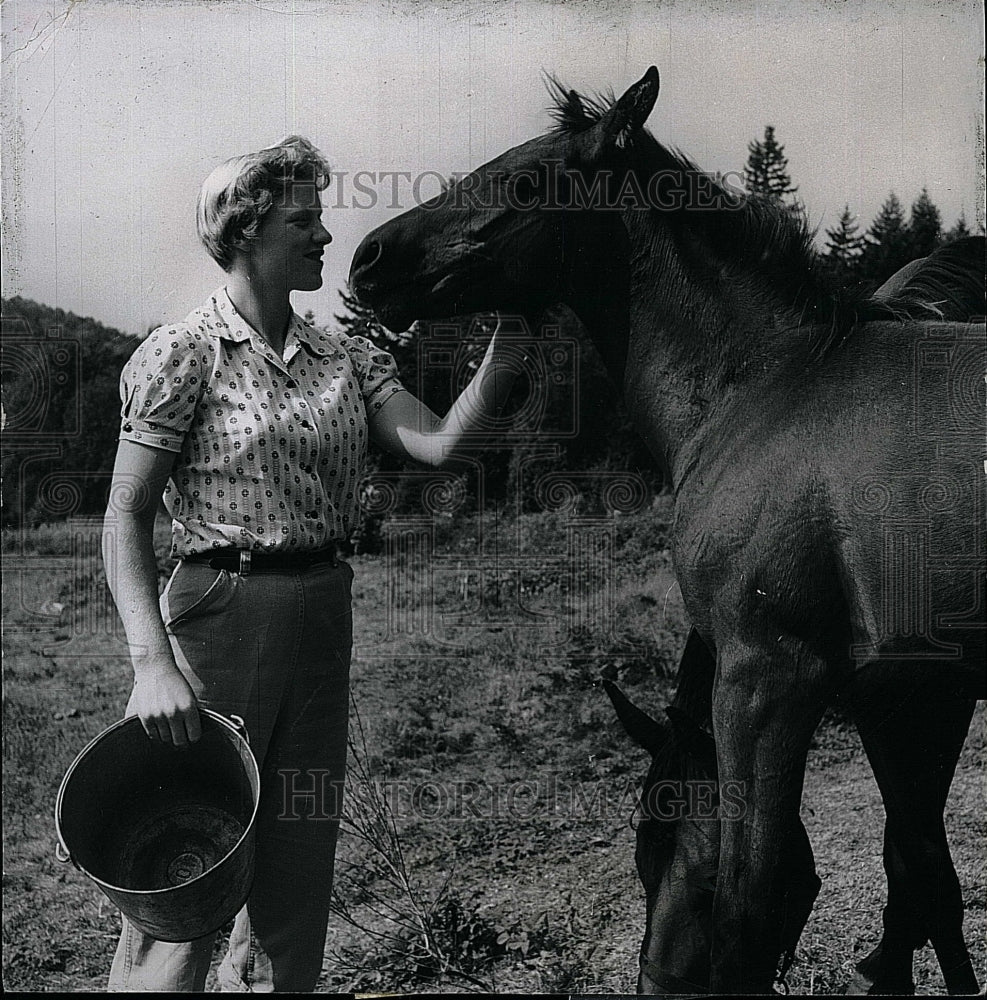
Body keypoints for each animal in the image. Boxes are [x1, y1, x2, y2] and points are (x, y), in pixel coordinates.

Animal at [350, 66, 987, 996]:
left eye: (526, 182)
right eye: (640, 853)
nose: (367, 259)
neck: (762, 387)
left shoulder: (767, 676)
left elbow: (749, 917)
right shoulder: (900, 693)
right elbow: (922, 879)